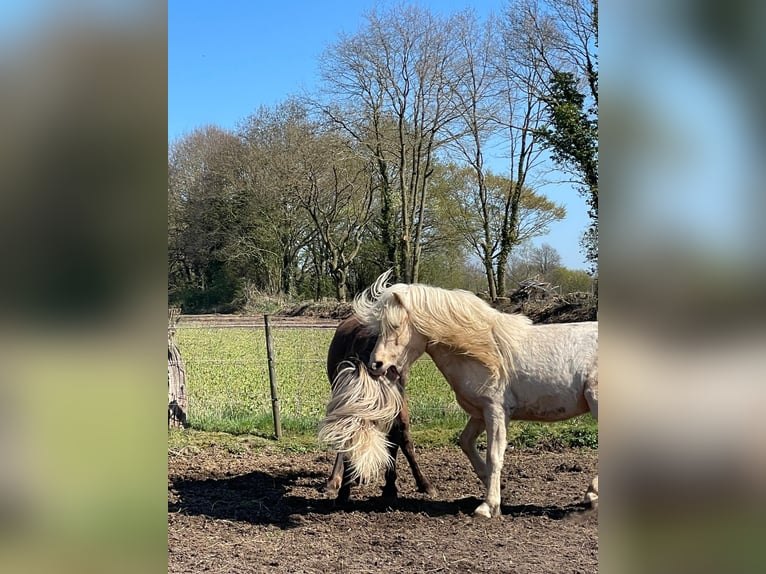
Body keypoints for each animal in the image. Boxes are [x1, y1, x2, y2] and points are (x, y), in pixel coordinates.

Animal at [350, 270, 598, 518]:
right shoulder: (480, 413)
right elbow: (466, 443)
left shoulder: (495, 411)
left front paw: (488, 506)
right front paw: (497, 489)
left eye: (395, 326)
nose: (375, 364)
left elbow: (494, 455)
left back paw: (592, 495)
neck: (484, 351)